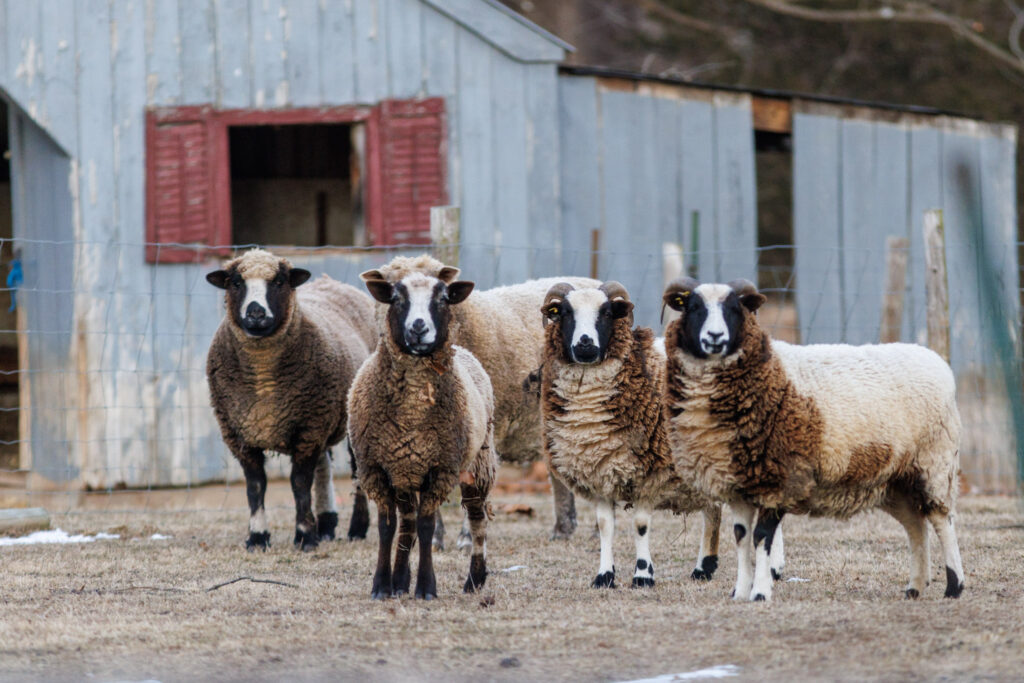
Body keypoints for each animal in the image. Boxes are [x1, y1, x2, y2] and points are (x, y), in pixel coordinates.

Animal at [205, 248, 376, 551]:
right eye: (236, 283)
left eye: (278, 282)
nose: (256, 313)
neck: (263, 380)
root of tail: (331, 281)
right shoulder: (239, 433)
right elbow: (255, 486)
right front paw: (257, 538)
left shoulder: (309, 428)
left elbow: (299, 483)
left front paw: (305, 537)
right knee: (325, 467)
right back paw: (327, 524)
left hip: (355, 415)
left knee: (357, 472)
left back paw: (356, 528)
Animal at [347, 254, 598, 544]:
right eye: (393, 293)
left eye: (441, 293)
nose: (418, 328)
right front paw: (435, 538)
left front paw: (467, 536)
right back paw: (563, 529)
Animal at [347, 267, 496, 599]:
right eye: (397, 298)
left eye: (442, 299)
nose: (418, 327)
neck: (412, 414)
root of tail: (466, 352)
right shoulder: (376, 468)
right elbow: (387, 527)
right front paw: (382, 586)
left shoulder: (440, 468)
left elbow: (428, 527)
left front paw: (426, 587)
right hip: (404, 471)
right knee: (407, 522)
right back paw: (400, 581)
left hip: (477, 463)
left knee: (478, 522)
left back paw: (475, 579)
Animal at [537, 281, 724, 588]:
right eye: (564, 313)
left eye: (607, 312)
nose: (585, 343)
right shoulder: (598, 475)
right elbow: (605, 527)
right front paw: (604, 576)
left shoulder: (652, 473)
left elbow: (640, 526)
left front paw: (643, 575)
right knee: (713, 511)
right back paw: (703, 569)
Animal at [661, 277, 965, 602]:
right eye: (693, 307)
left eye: (734, 308)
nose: (715, 337)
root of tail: (936, 360)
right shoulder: (739, 485)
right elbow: (741, 537)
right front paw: (740, 593)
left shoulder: (778, 480)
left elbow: (761, 538)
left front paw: (760, 593)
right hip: (894, 480)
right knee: (916, 526)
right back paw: (915, 587)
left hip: (934, 463)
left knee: (942, 521)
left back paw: (954, 586)